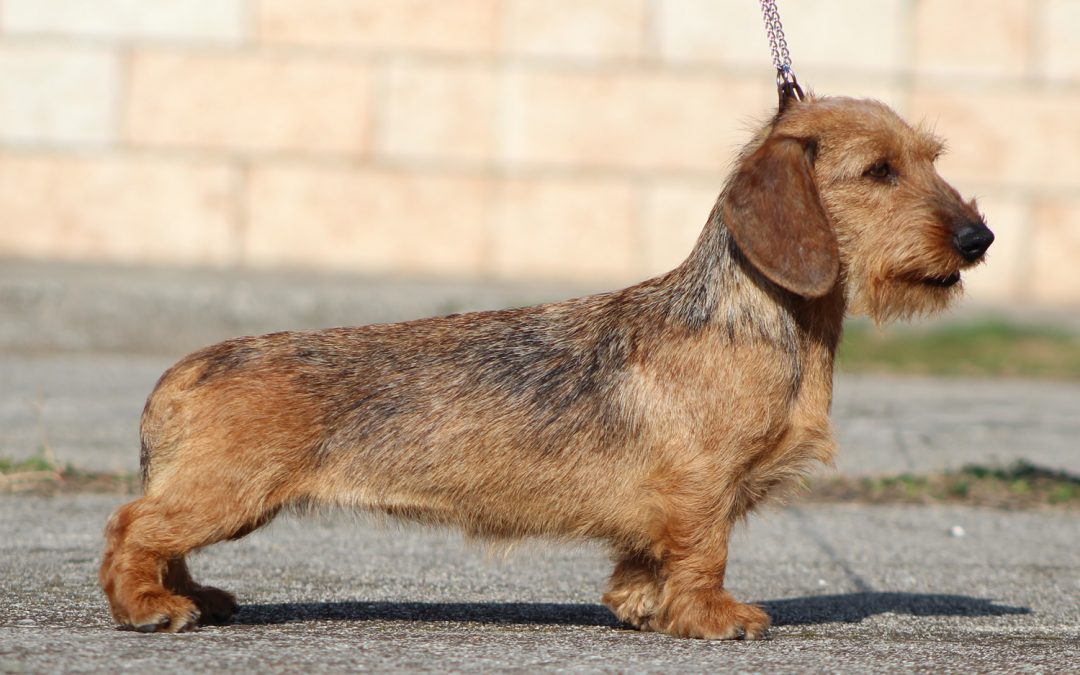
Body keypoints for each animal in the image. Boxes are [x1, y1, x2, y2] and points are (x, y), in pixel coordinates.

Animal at [103, 96, 993, 635]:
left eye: (931, 158)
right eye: (879, 170)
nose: (978, 238)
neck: (759, 319)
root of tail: (183, 372)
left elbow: (646, 559)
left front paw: (640, 603)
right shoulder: (701, 485)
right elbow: (704, 550)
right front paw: (711, 615)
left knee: (158, 532)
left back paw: (191, 595)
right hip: (227, 493)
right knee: (130, 527)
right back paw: (148, 603)